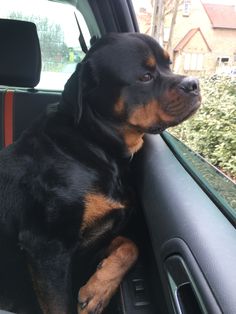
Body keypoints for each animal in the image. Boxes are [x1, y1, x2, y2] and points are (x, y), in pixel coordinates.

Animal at [0, 33, 200, 312]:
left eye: (169, 65)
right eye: (145, 77)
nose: (194, 84)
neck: (95, 142)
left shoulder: (98, 239)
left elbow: (130, 245)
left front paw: (98, 290)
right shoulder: (47, 246)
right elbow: (59, 304)